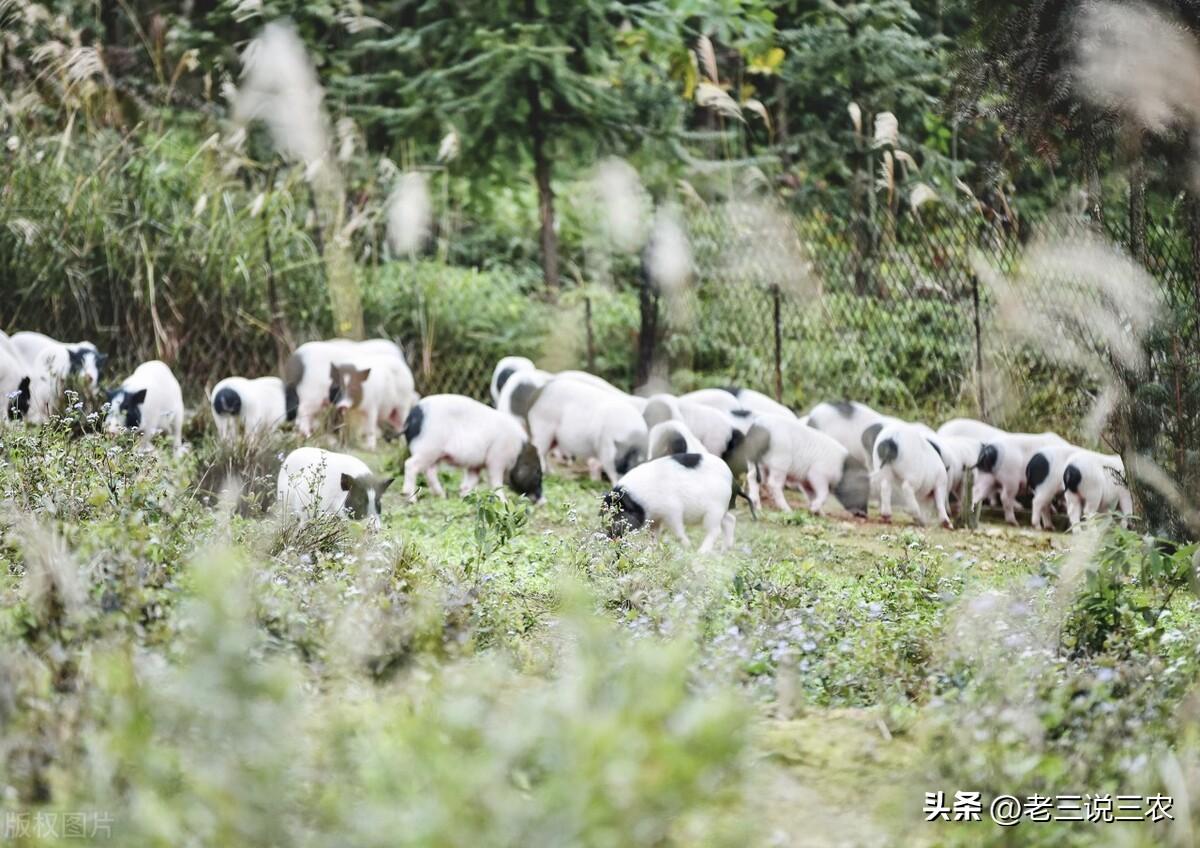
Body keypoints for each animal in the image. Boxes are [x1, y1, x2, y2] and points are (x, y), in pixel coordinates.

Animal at [400, 395, 542, 508]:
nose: (543, 501)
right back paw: (412, 500)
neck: (518, 452)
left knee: (430, 471)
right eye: (537, 472)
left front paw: (464, 496)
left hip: (434, 453)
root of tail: (409, 419)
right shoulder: (496, 458)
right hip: (428, 448)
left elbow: (472, 480)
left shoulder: (476, 465)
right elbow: (495, 481)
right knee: (410, 465)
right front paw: (504, 502)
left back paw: (442, 496)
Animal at [604, 453, 734, 554]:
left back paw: (701, 552)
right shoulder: (655, 520)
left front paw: (688, 547)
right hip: (722, 510)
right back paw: (725, 551)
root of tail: (731, 477)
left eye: (619, 513)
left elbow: (678, 531)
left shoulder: (673, 510)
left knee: (715, 530)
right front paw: (648, 552)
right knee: (730, 520)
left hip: (715, 510)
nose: (609, 536)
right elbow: (654, 536)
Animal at [734, 412, 868, 518]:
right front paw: (814, 510)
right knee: (773, 484)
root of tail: (757, 428)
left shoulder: (806, 481)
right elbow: (823, 493)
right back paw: (788, 510)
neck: (842, 470)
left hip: (755, 463)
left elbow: (811, 495)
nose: (865, 514)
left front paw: (821, 514)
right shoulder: (817, 474)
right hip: (779, 463)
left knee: (752, 478)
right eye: (861, 489)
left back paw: (758, 507)